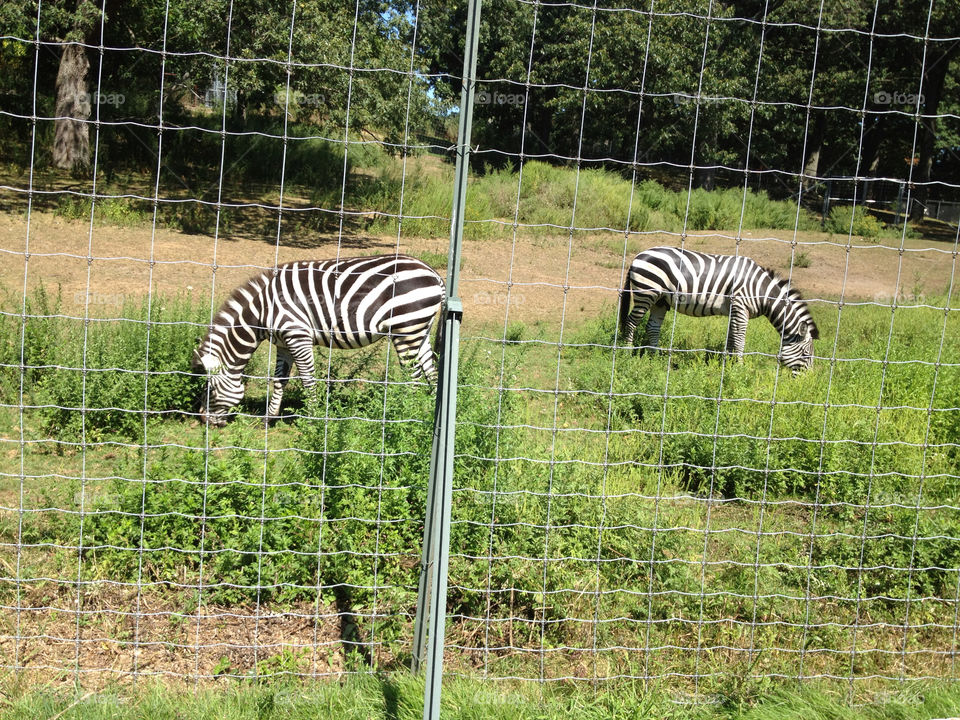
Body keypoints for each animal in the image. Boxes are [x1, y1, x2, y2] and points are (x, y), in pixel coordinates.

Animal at [196, 255, 450, 424]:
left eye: (210, 389)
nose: (203, 420)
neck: (262, 311)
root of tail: (434, 273)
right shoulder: (283, 343)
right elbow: (279, 380)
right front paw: (269, 418)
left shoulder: (298, 336)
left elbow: (307, 380)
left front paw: (313, 419)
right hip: (419, 328)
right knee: (430, 369)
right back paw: (426, 410)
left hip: (406, 329)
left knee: (413, 376)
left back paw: (405, 415)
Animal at [624, 246, 816, 372]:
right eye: (806, 355)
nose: (807, 380)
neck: (760, 291)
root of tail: (638, 256)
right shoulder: (740, 306)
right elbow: (739, 339)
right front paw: (740, 368)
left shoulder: (734, 310)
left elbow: (731, 338)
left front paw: (728, 363)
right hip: (646, 292)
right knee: (631, 322)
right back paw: (627, 351)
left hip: (661, 300)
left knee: (652, 327)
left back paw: (655, 358)